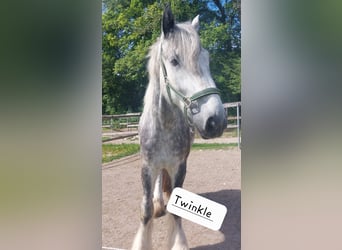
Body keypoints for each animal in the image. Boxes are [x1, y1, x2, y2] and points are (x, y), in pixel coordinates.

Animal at [133, 5, 227, 250]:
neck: (164, 126)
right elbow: (145, 210)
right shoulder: (147, 166)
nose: (216, 120)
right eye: (174, 61)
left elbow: (176, 211)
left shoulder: (179, 166)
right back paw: (158, 203)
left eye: (206, 59)